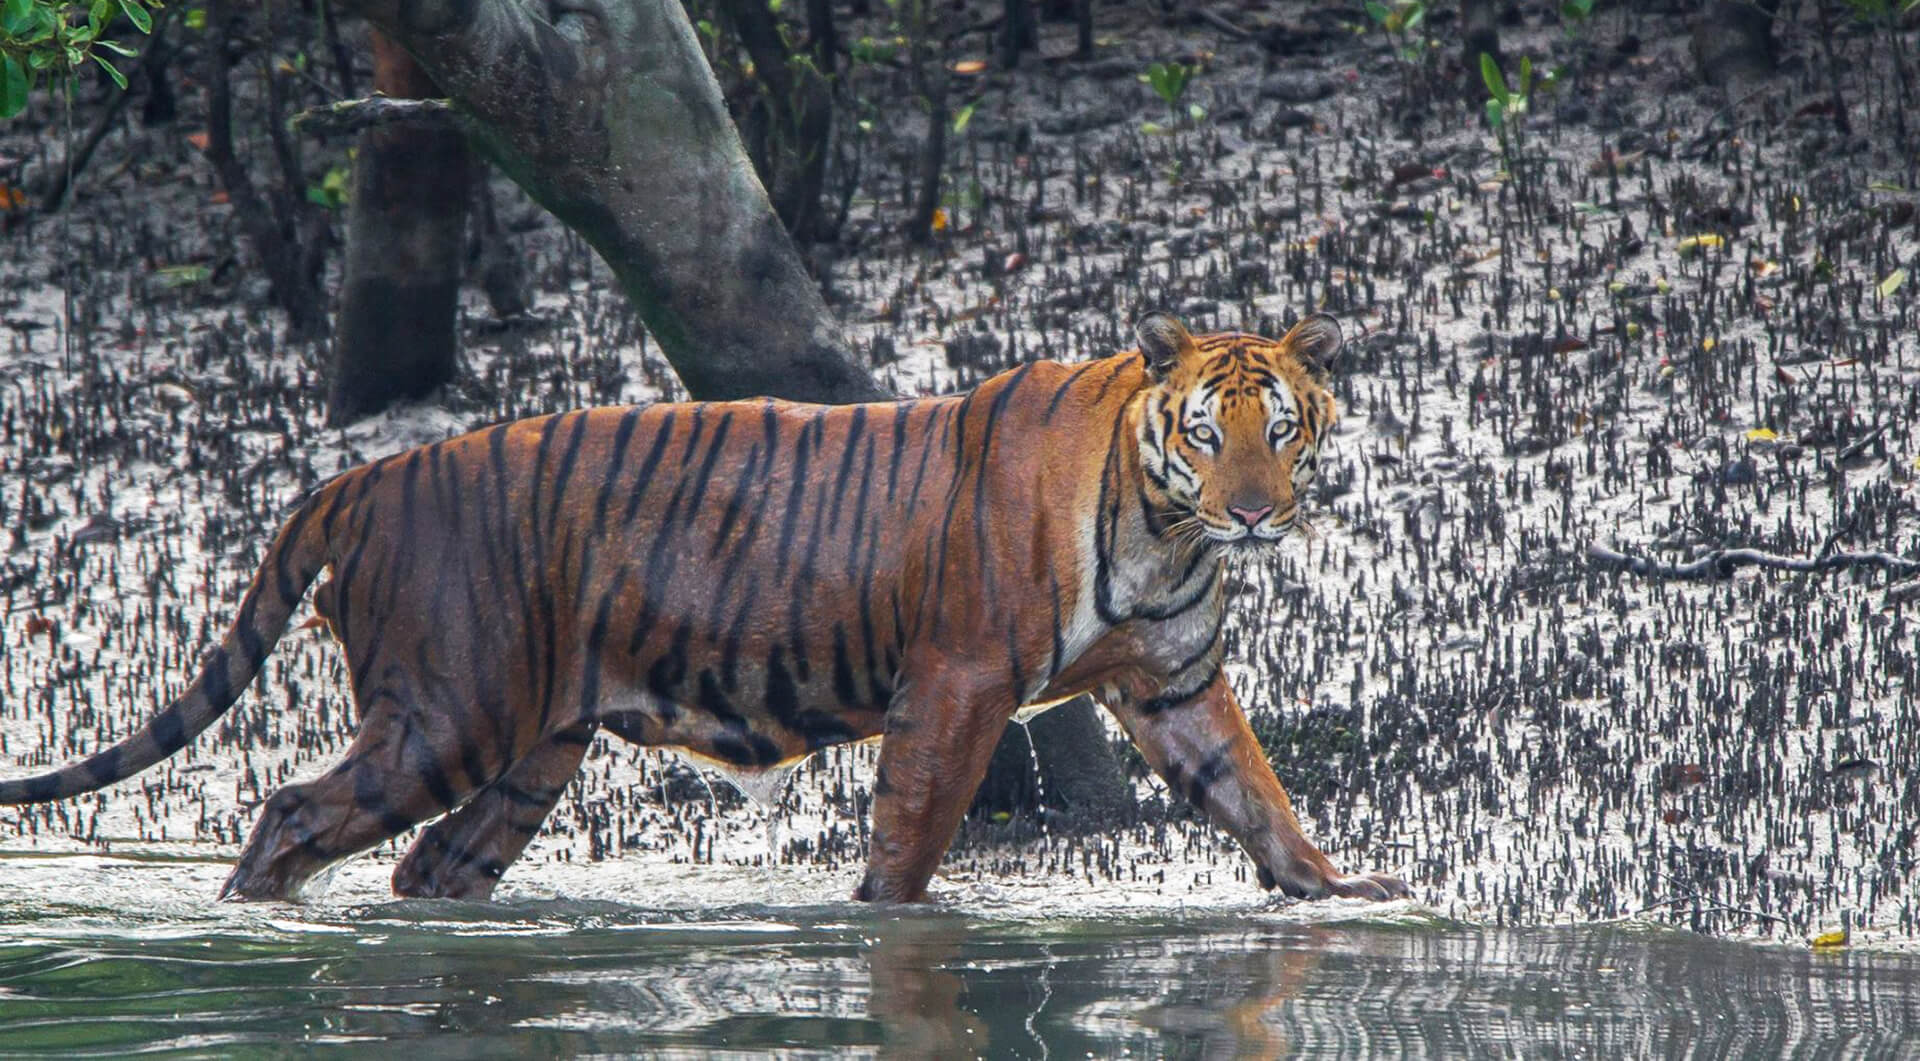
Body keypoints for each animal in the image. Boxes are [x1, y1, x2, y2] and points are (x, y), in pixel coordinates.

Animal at [0, 312, 1413, 901]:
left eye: (1284, 429)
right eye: (1208, 430)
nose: (1254, 513)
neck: (1165, 530)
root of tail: (363, 470)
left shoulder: (1175, 685)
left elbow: (1261, 798)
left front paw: (1345, 895)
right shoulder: (956, 683)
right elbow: (911, 837)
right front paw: (887, 926)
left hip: (531, 748)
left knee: (429, 863)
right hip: (443, 715)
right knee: (292, 810)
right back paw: (246, 919)